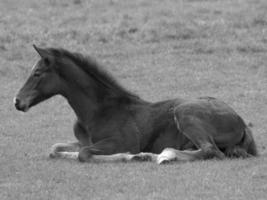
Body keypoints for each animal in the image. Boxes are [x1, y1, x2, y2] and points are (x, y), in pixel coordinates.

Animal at [13, 45, 258, 164]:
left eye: (37, 73)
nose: (17, 101)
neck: (98, 111)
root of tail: (241, 121)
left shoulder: (121, 141)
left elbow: (85, 154)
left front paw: (131, 156)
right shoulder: (84, 140)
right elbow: (56, 149)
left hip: (184, 112)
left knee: (211, 151)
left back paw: (162, 156)